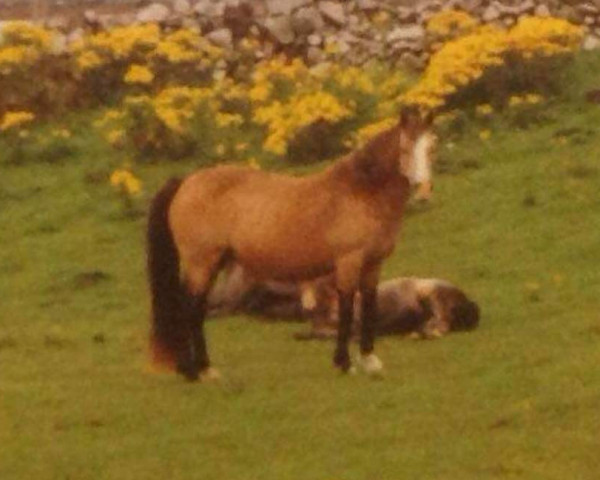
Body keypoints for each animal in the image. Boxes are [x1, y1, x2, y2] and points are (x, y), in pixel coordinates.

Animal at [145, 107, 436, 380]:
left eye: (432, 147)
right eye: (405, 146)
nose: (423, 190)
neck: (361, 191)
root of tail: (186, 182)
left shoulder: (373, 265)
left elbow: (368, 306)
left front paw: (369, 361)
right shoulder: (348, 262)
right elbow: (346, 308)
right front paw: (344, 363)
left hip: (214, 264)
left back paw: (198, 369)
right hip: (201, 263)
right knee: (189, 310)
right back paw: (197, 370)